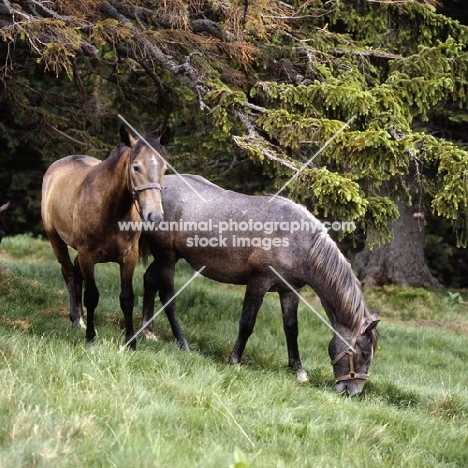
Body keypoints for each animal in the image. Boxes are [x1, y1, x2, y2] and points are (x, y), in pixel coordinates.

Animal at [41, 128, 170, 348]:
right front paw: (91, 338)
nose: (155, 216)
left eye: (164, 168)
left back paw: (80, 319)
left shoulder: (129, 257)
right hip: (56, 240)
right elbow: (92, 296)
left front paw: (130, 342)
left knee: (75, 273)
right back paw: (76, 319)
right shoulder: (88, 255)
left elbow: (127, 298)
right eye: (136, 167)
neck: (111, 210)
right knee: (69, 273)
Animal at [141, 176, 378, 394]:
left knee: (149, 280)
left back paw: (148, 331)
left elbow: (291, 328)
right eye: (364, 353)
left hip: (167, 257)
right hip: (167, 257)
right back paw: (182, 343)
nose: (353, 391)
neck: (297, 241)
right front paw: (235, 361)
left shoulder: (290, 290)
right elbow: (247, 323)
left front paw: (298, 370)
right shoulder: (258, 283)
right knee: (168, 299)